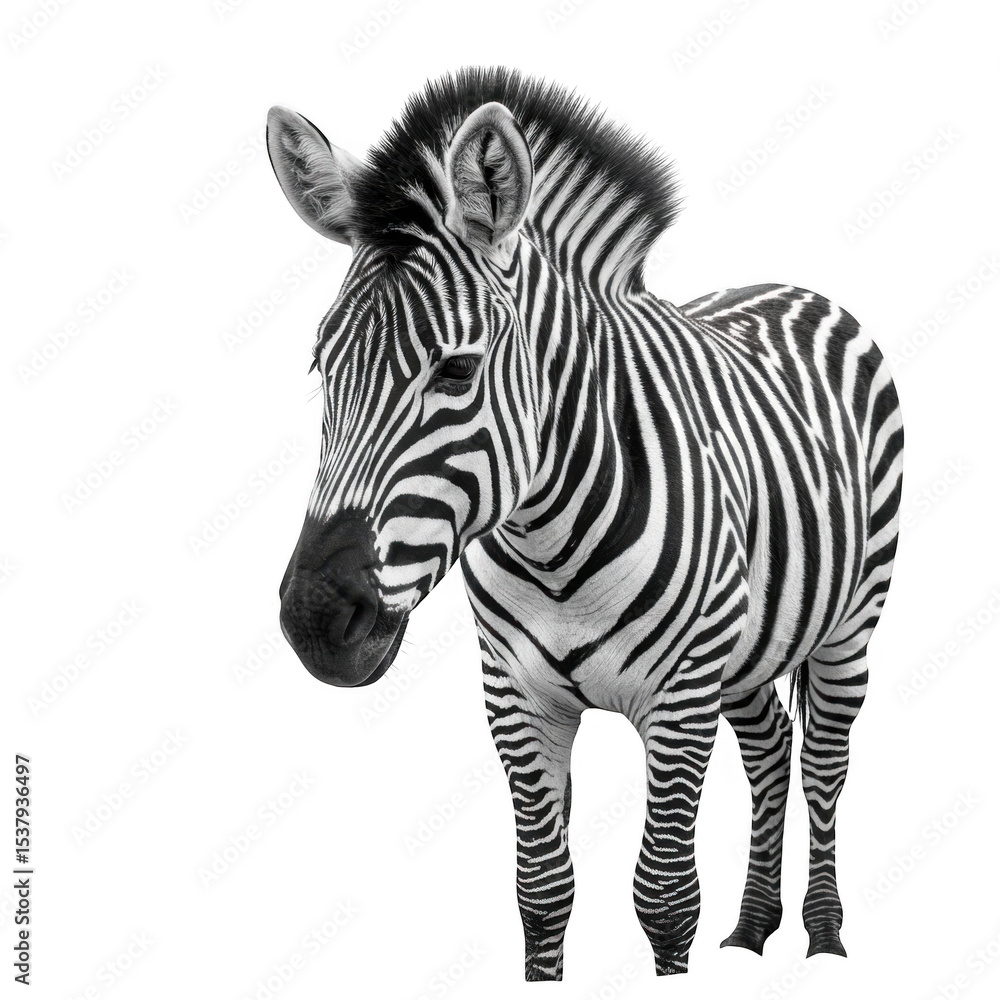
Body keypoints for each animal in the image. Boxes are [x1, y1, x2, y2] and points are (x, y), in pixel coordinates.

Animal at [267, 67, 903, 980]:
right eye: (323, 368)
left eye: (456, 370)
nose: (317, 616)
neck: (550, 544)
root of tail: (795, 287)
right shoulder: (516, 698)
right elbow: (542, 892)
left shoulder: (679, 700)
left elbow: (664, 896)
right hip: (749, 644)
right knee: (772, 749)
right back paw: (753, 928)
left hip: (851, 621)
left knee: (824, 763)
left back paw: (821, 937)